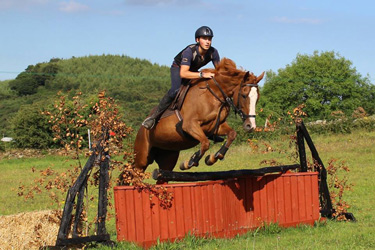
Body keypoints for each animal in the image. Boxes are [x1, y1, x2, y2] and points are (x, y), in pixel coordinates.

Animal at [132, 58, 264, 176]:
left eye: (257, 98)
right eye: (244, 95)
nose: (250, 126)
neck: (214, 94)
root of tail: (141, 130)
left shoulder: (216, 126)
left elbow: (232, 134)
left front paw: (213, 158)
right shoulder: (189, 125)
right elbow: (205, 143)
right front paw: (190, 161)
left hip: (168, 157)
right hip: (141, 158)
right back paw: (149, 122)